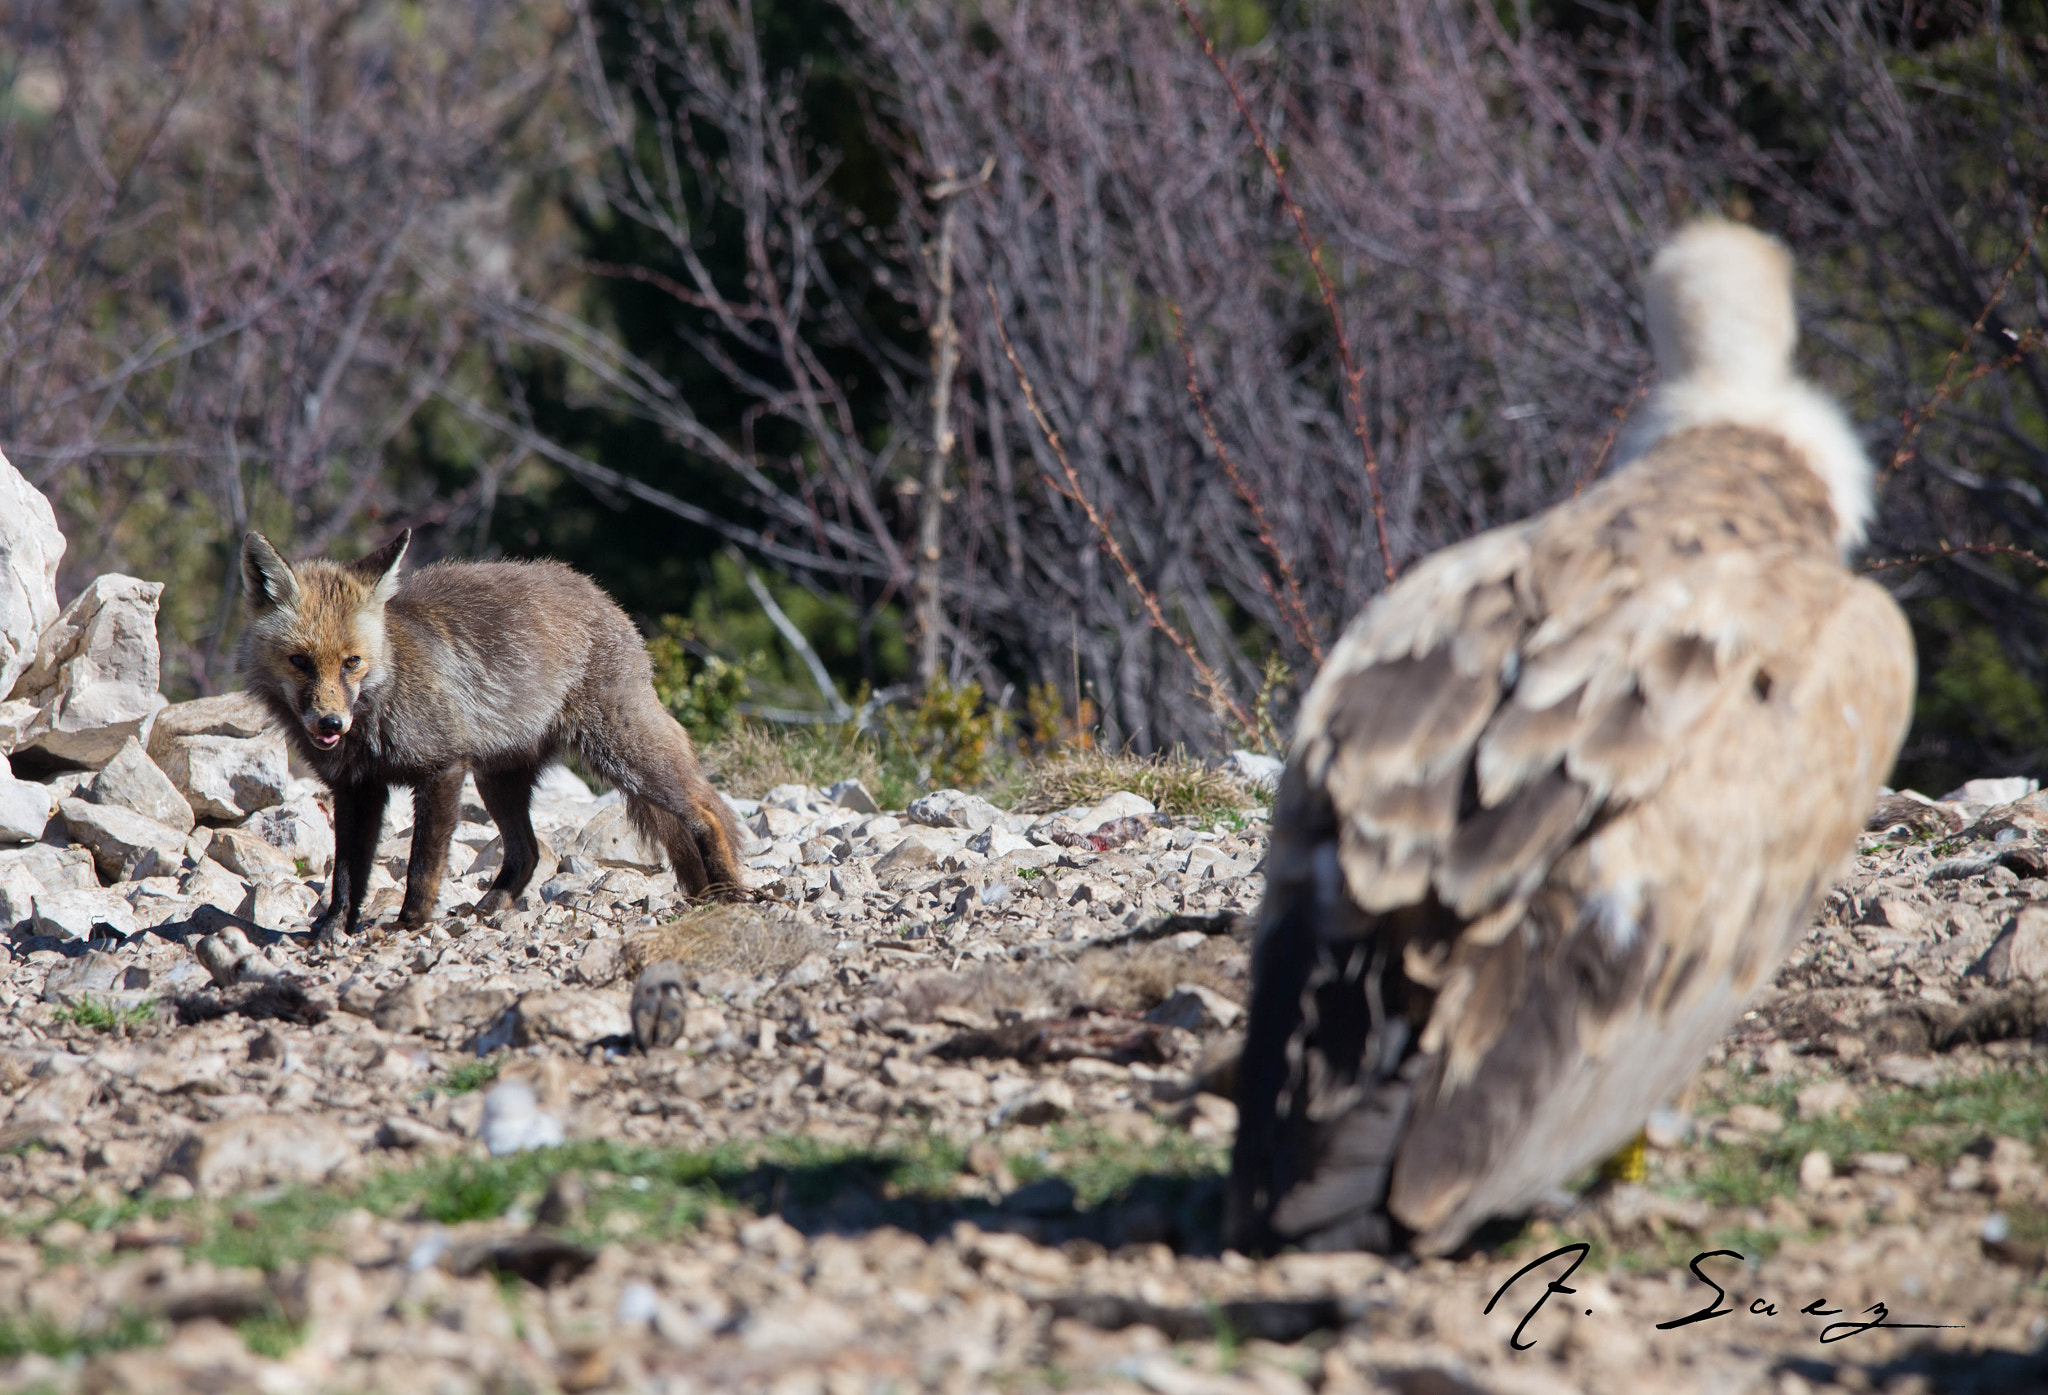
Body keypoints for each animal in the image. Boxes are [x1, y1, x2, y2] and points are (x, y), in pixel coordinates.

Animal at [237, 528, 745, 942]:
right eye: (300, 662)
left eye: (351, 662)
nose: (330, 725)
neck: (381, 700)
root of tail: (594, 589)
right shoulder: (356, 788)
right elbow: (346, 873)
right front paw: (332, 928)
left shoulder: (442, 769)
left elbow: (423, 866)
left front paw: (409, 923)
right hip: (498, 781)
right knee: (529, 852)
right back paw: (490, 907)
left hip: (619, 756)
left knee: (706, 810)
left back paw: (729, 892)